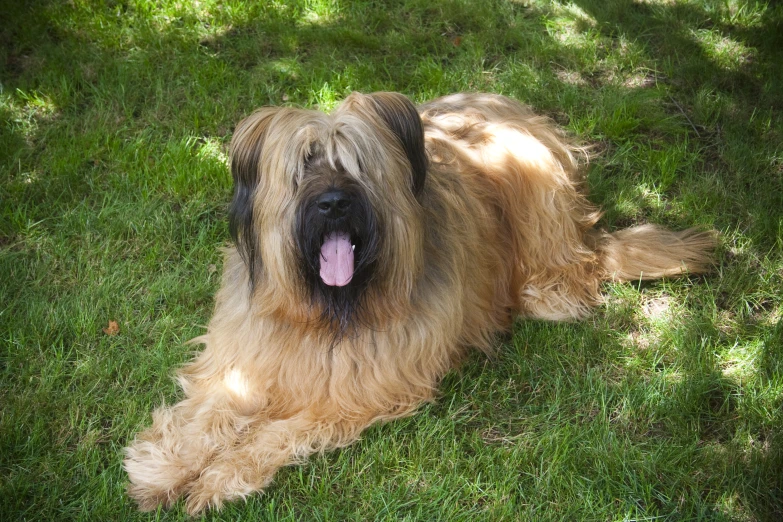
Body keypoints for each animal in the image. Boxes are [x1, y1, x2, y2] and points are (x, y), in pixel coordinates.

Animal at [122, 91, 716, 510]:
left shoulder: (358, 392)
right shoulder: (245, 360)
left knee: (577, 267)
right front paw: (164, 469)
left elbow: (275, 434)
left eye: (357, 164)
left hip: (537, 195)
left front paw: (219, 478)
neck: (329, 315)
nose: (334, 204)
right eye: (306, 164)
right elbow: (212, 412)